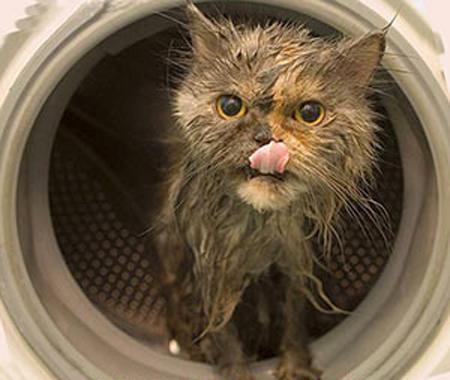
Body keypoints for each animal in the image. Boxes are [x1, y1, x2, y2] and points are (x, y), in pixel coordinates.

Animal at [154, 1, 384, 378]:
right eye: (230, 107)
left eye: (310, 113)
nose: (266, 138)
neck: (258, 228)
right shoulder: (208, 269)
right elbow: (222, 335)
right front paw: (235, 370)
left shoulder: (298, 267)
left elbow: (294, 323)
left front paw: (295, 367)